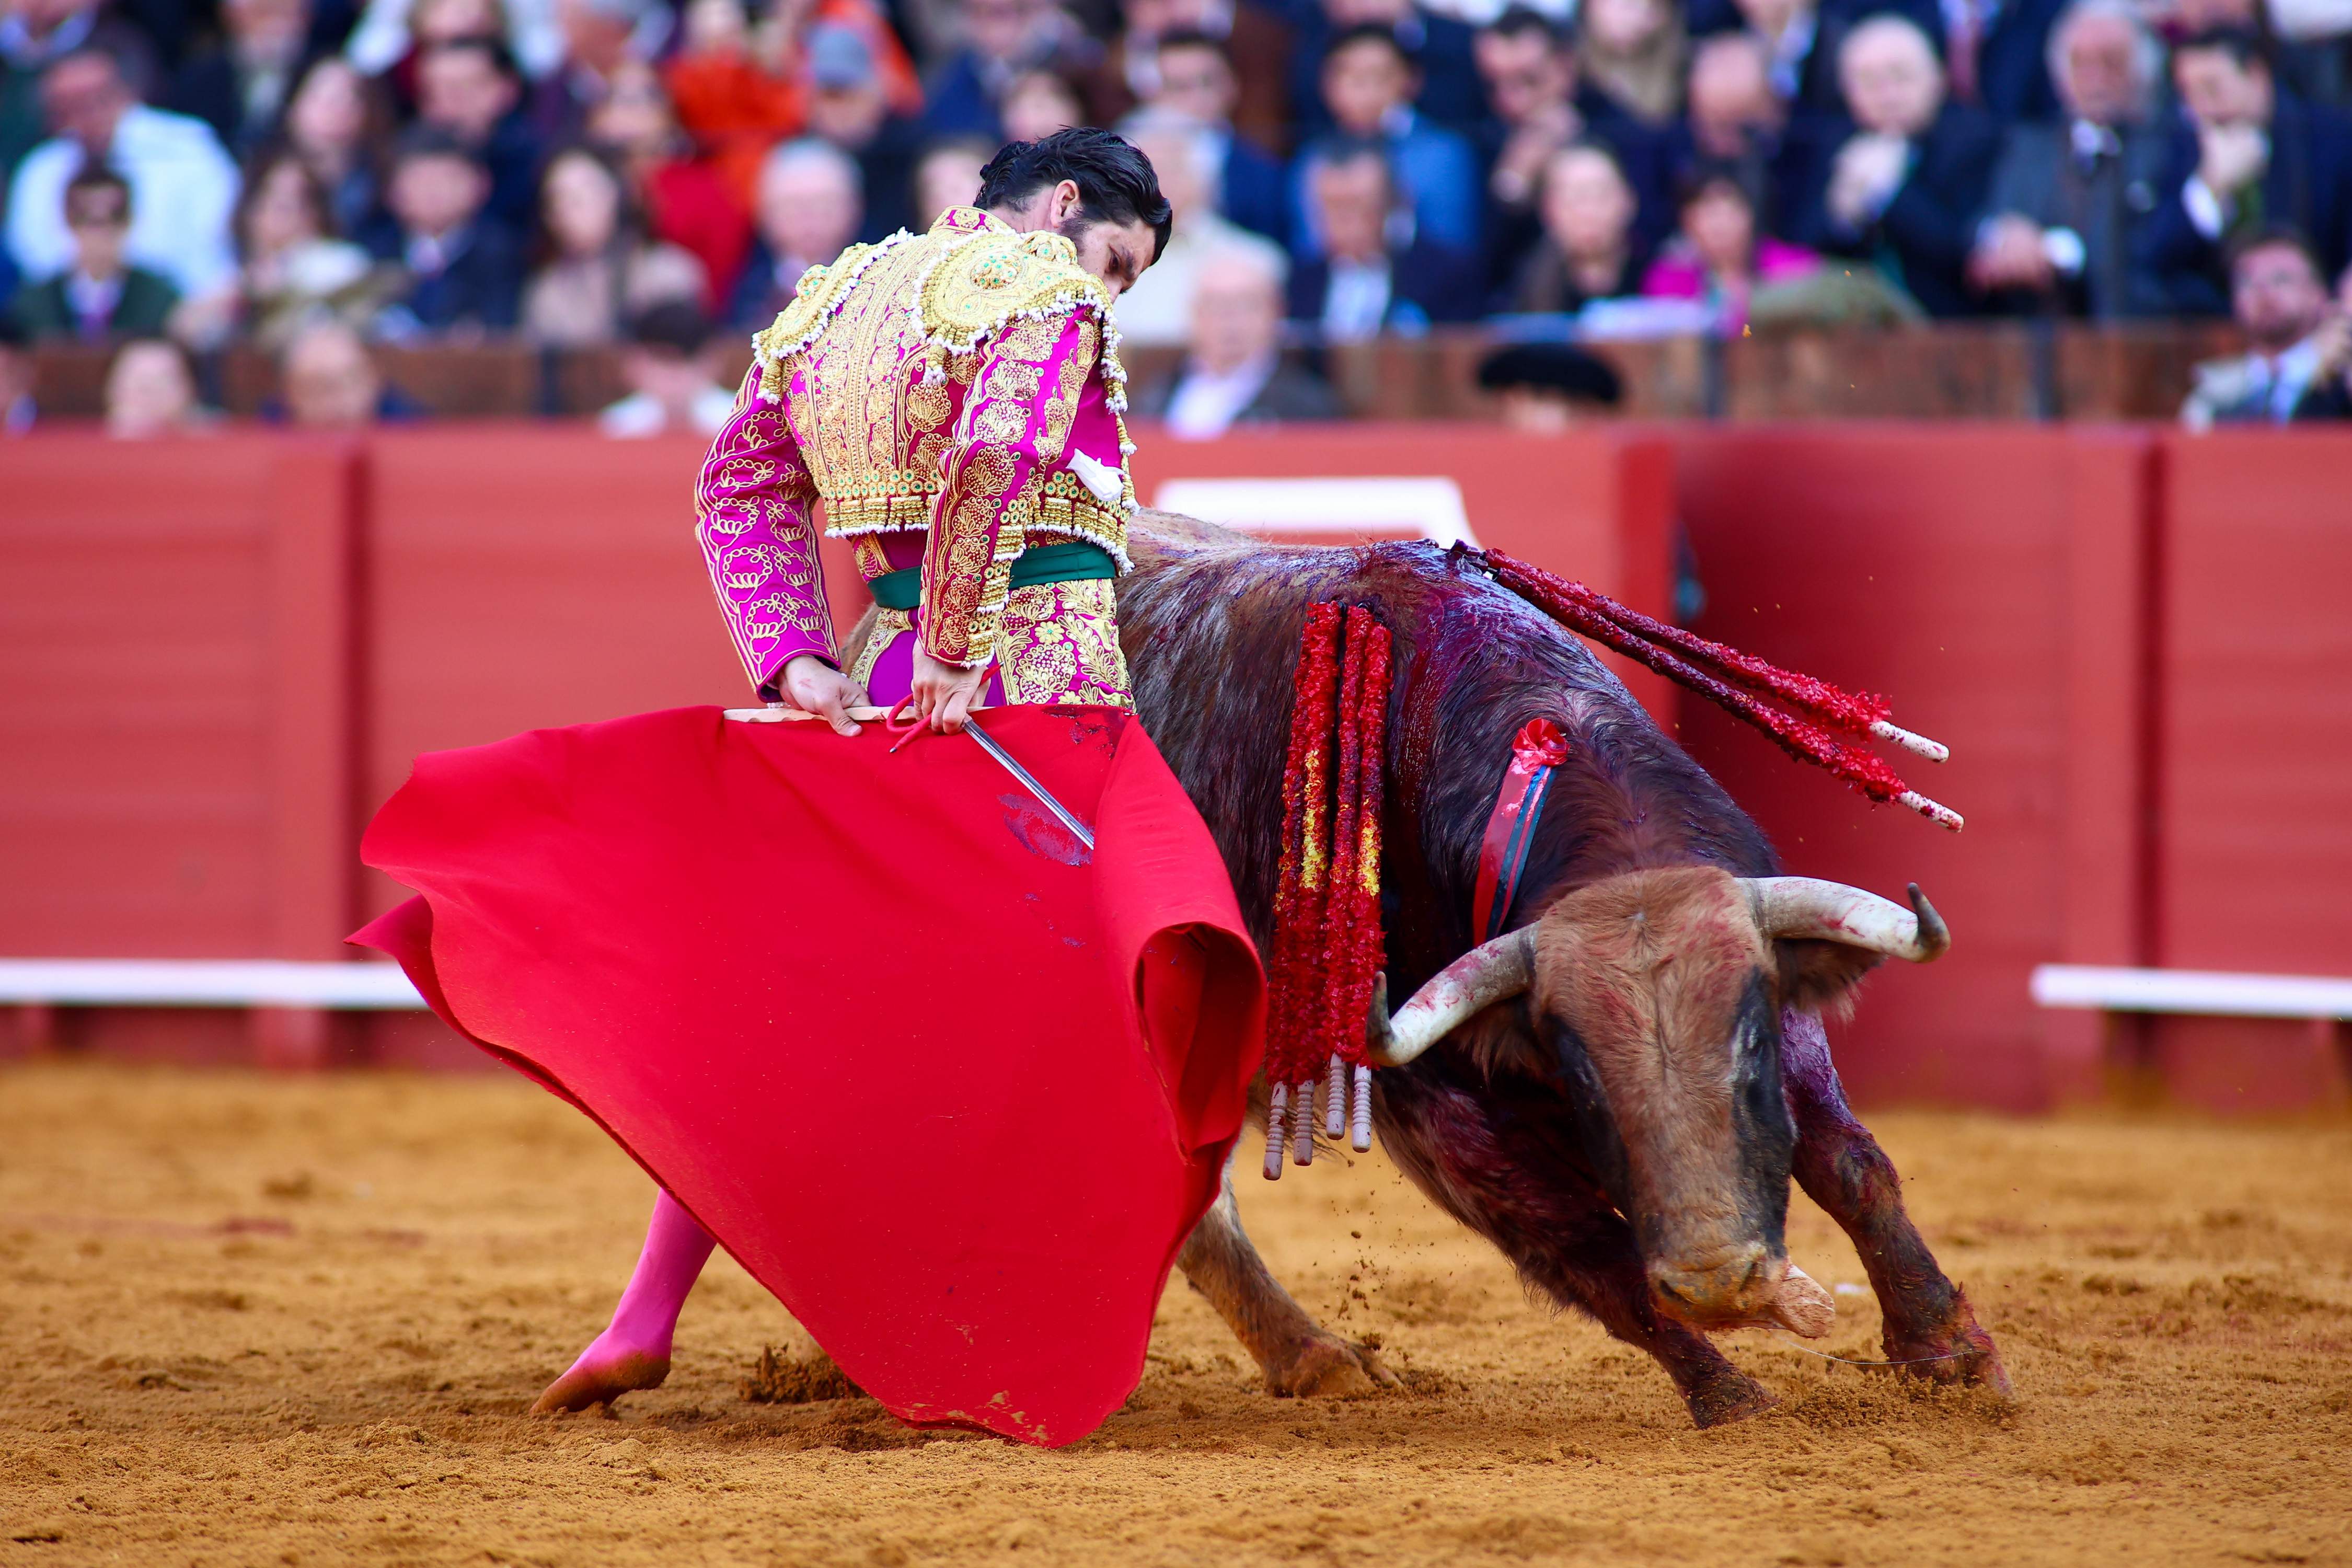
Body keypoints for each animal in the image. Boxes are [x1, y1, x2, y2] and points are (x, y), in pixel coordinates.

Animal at [1110, 522, 2013, 1429]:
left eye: (1749, 1045)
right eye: (1582, 1076)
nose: (1717, 1285)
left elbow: (1848, 1162)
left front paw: (1949, 1353)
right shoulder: (1433, 1111)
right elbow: (1593, 1251)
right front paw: (1731, 1399)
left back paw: (1314, 1358)